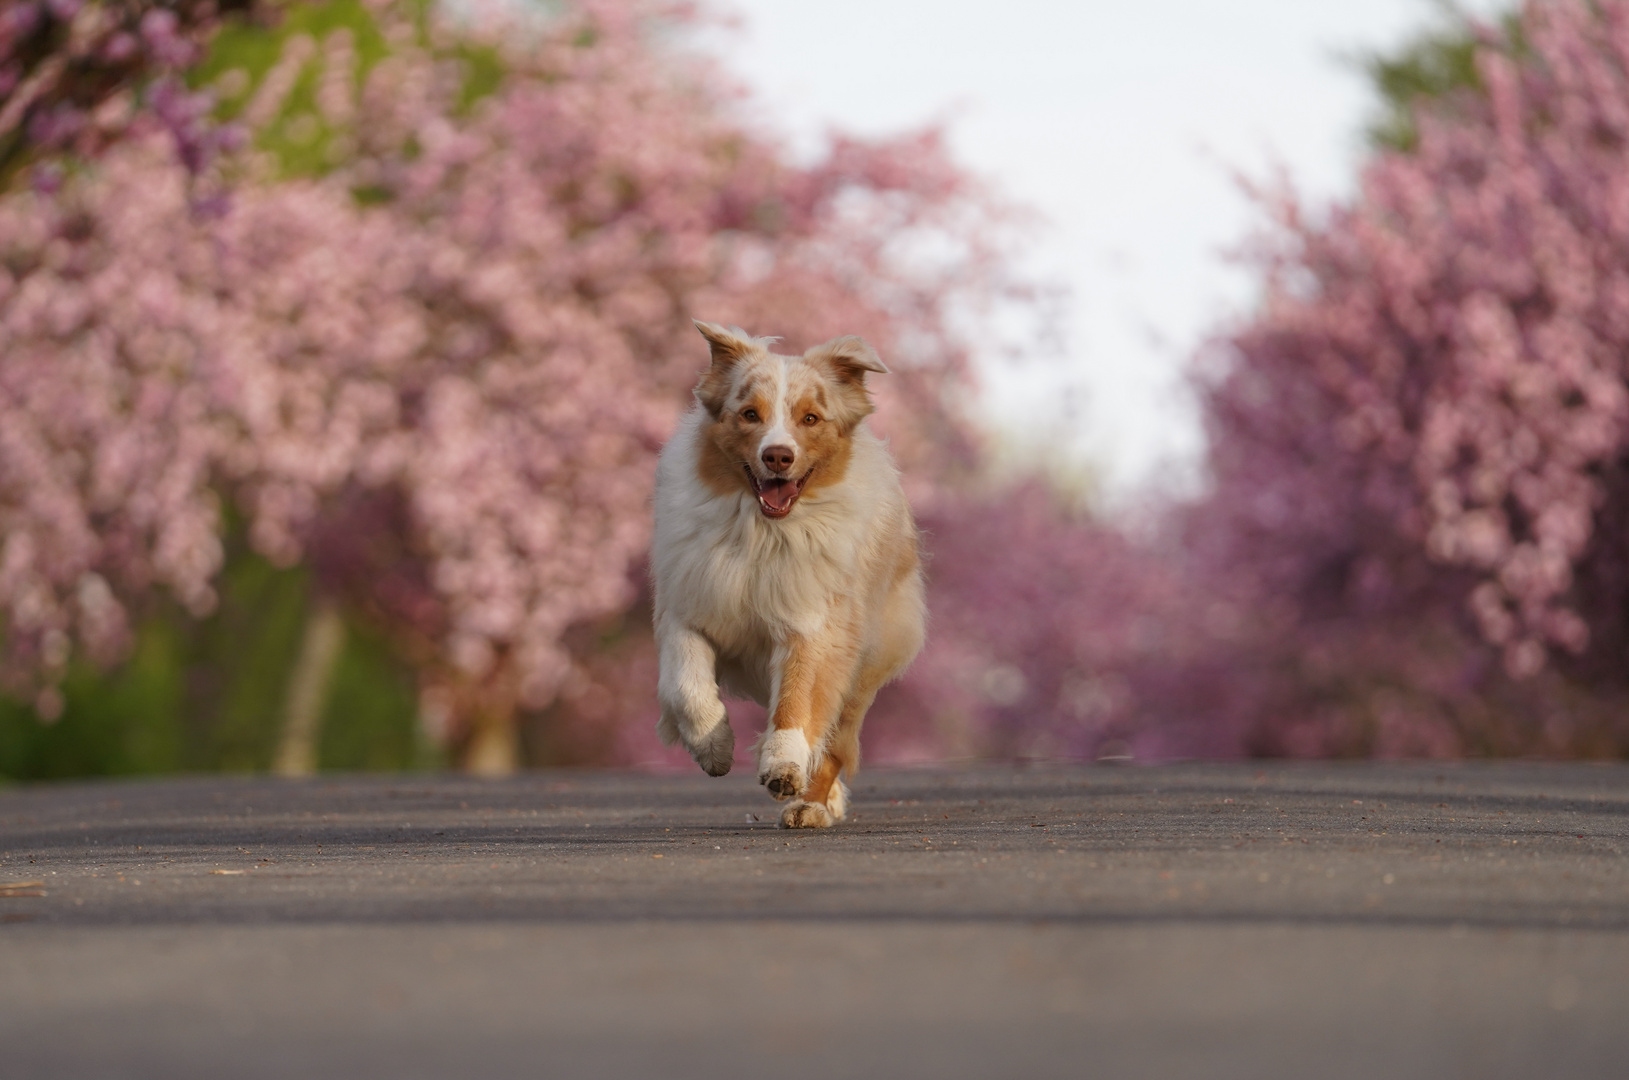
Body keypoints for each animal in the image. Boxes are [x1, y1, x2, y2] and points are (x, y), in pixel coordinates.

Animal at [651, 320, 931, 827]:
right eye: (749, 414)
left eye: (811, 419)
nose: (778, 456)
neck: (762, 534)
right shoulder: (687, 607)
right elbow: (686, 686)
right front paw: (713, 747)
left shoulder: (815, 622)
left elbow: (798, 700)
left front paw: (783, 766)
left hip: (866, 660)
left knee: (837, 740)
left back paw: (812, 806)